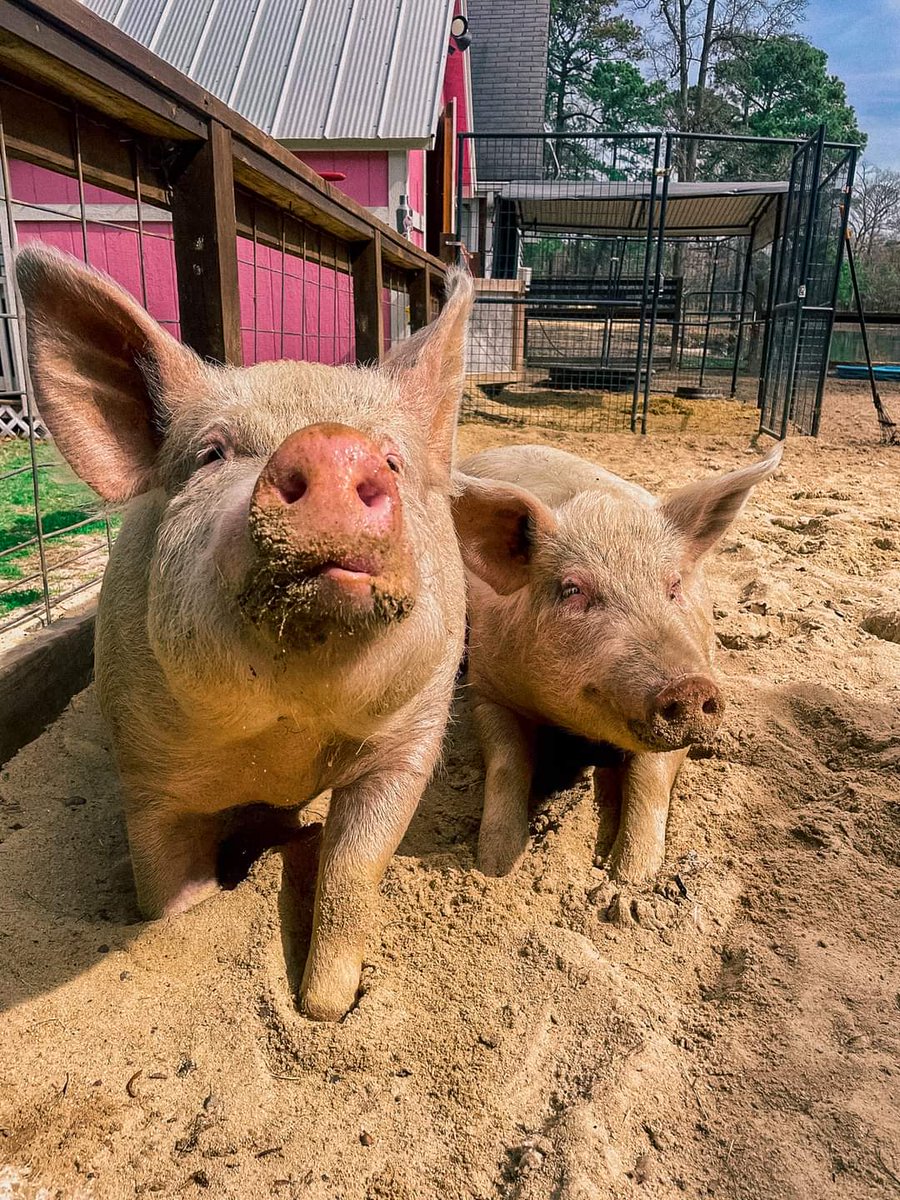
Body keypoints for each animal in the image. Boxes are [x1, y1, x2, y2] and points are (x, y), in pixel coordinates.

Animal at [16, 245, 473, 1021]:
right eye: (212, 453)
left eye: (392, 458)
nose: (331, 446)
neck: (286, 731)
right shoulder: (145, 769)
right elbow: (165, 896)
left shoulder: (411, 739)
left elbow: (353, 871)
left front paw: (325, 1008)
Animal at [452, 441, 783, 884]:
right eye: (572, 589)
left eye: (674, 585)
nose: (689, 686)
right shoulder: (487, 688)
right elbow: (507, 761)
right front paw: (494, 866)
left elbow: (650, 775)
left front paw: (631, 876)